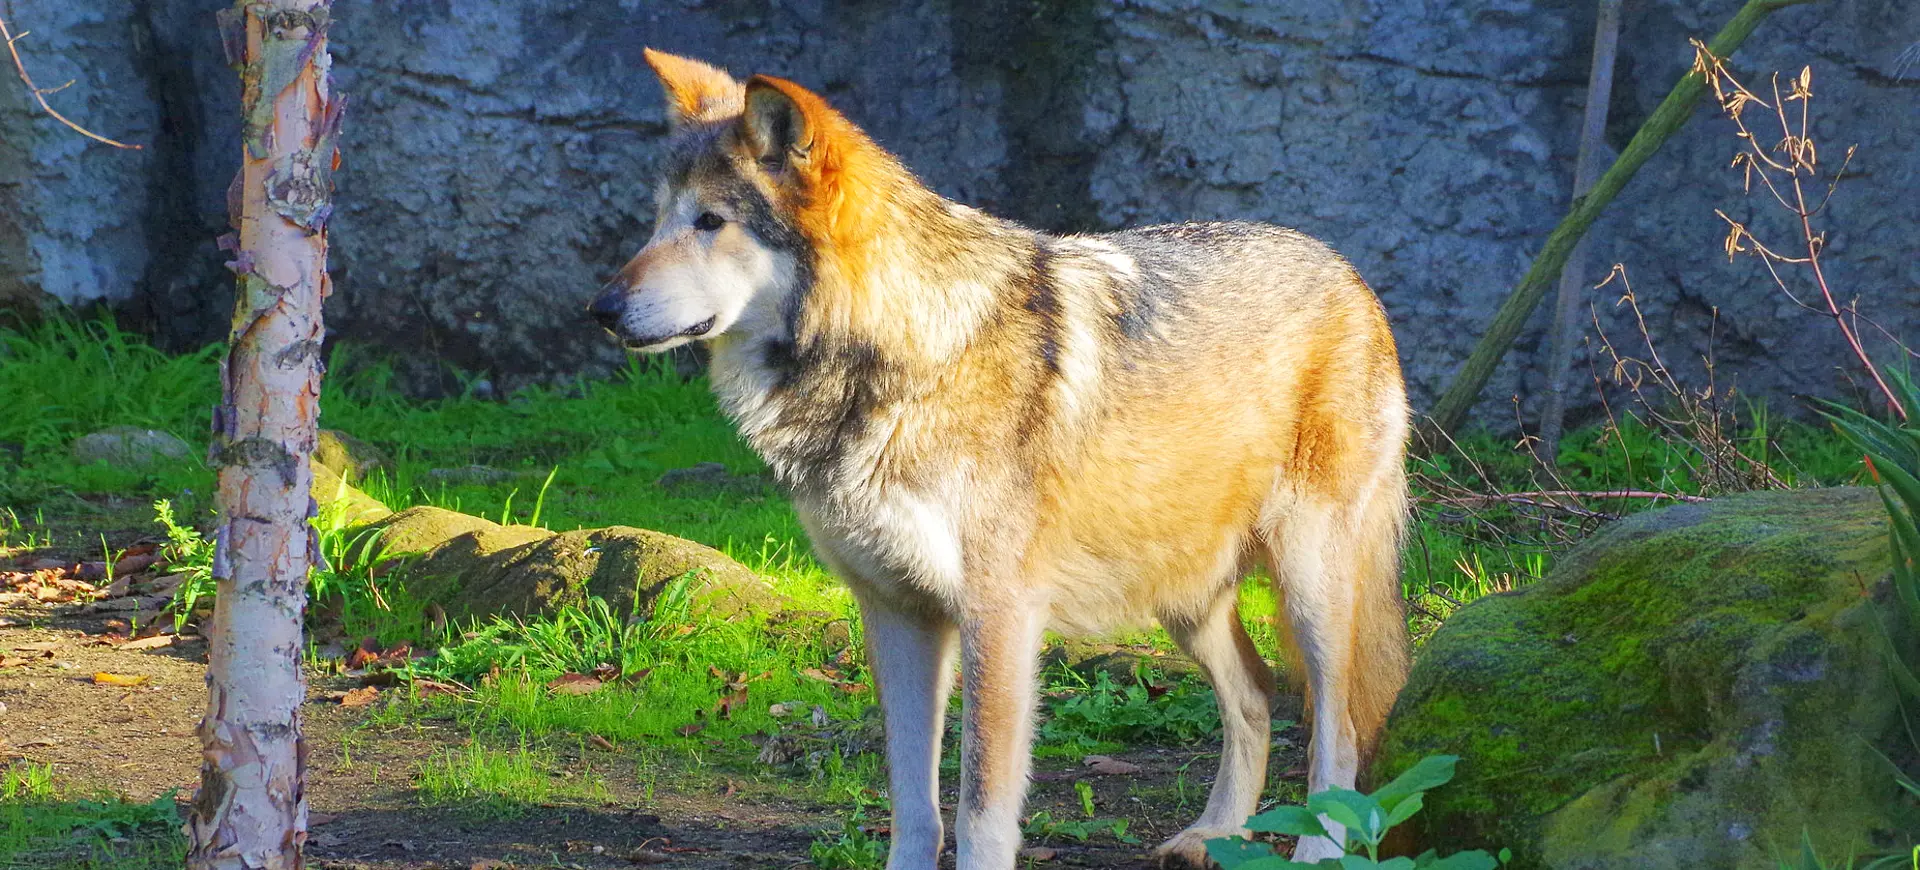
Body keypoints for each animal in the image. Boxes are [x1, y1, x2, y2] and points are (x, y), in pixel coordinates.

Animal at [591, 49, 1420, 868]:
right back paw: (1211, 836)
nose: (600, 309)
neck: (898, 365)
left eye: (711, 222)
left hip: (1309, 585)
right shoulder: (895, 613)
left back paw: (1318, 849)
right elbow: (913, 804)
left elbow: (983, 810)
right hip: (1181, 595)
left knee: (1339, 728)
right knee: (1256, 692)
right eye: (658, 221)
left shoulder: (999, 618)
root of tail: (1348, 271)